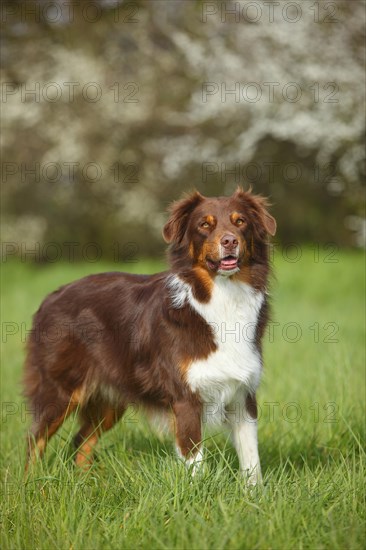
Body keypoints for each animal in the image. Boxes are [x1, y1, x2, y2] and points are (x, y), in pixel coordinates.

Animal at [24, 188, 276, 486]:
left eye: (240, 222)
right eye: (205, 225)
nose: (229, 241)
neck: (221, 296)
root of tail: (50, 297)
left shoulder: (243, 394)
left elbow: (252, 461)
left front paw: (254, 495)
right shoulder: (185, 398)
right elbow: (195, 461)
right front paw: (197, 493)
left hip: (110, 399)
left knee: (81, 440)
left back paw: (85, 482)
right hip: (60, 390)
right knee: (34, 440)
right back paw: (29, 484)